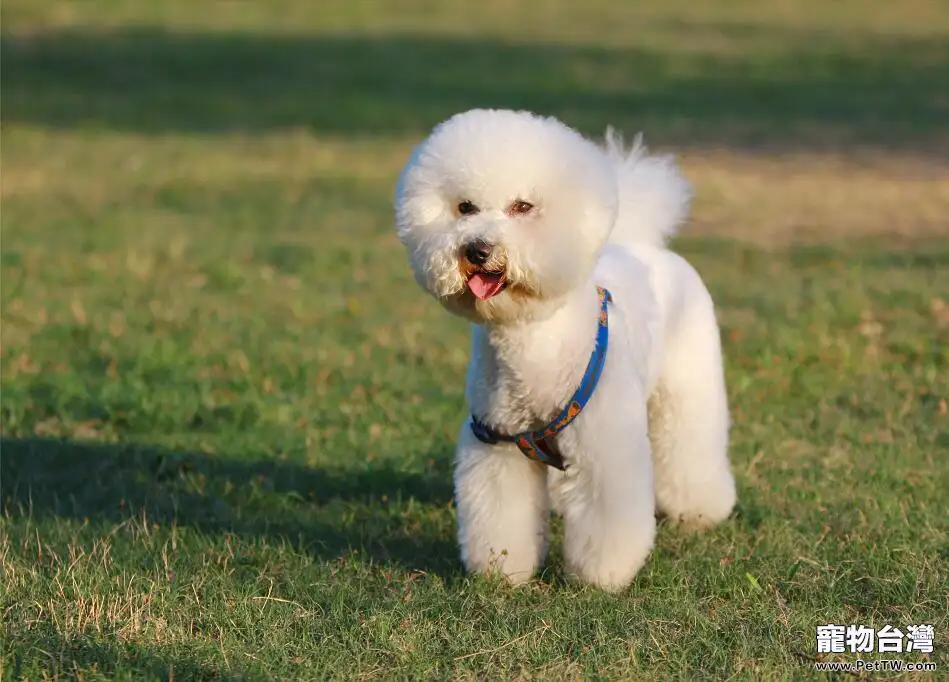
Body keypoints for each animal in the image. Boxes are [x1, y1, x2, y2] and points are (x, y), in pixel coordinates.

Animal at [392, 109, 740, 588]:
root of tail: (643, 243)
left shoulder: (607, 446)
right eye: (464, 208)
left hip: (687, 386)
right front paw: (503, 571)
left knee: (690, 444)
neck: (530, 338)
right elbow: (502, 516)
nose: (477, 250)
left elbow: (608, 517)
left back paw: (700, 510)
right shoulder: (497, 445)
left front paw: (601, 575)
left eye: (523, 207)